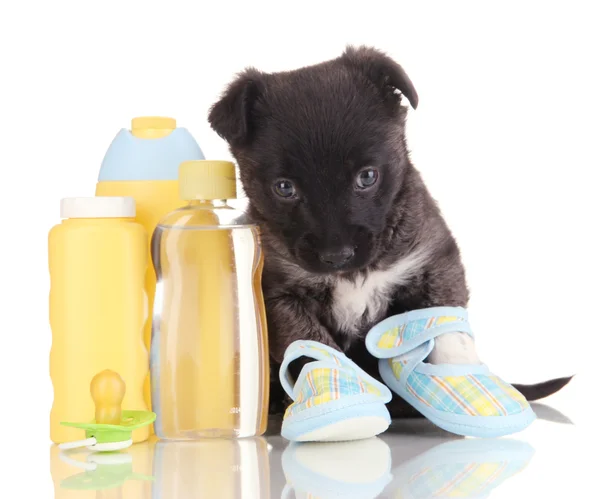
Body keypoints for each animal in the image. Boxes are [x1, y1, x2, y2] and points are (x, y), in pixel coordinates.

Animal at [210, 47, 572, 416]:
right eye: (284, 188)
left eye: (367, 177)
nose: (337, 255)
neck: (356, 273)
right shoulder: (281, 296)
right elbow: (313, 346)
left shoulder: (435, 260)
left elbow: (446, 332)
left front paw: (465, 384)